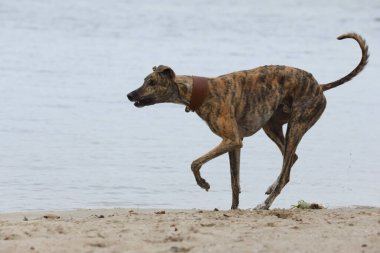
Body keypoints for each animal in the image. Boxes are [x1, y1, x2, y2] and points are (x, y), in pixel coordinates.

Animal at [127, 33, 368, 210]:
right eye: (145, 80)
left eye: (151, 82)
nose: (129, 95)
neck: (203, 91)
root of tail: (320, 85)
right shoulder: (234, 144)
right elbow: (234, 182)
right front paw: (233, 208)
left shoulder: (231, 140)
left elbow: (195, 162)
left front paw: (203, 183)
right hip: (272, 126)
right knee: (290, 160)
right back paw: (270, 188)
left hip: (296, 125)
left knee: (286, 169)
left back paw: (265, 204)